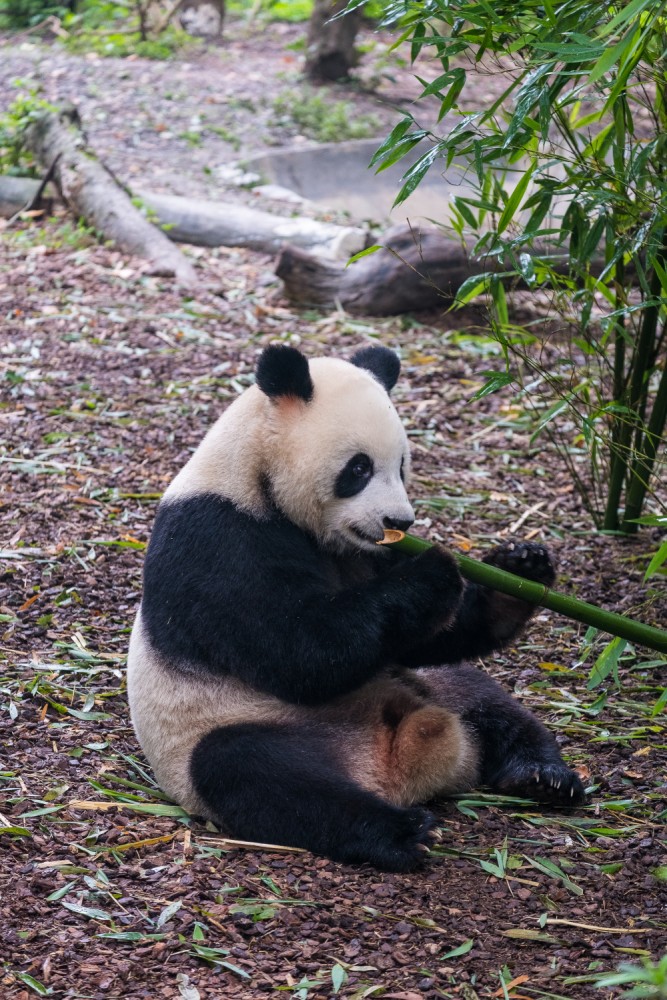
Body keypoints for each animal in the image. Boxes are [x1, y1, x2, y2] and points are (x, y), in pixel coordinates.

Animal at [126, 342, 584, 868]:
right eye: (359, 468)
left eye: (402, 465)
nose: (399, 521)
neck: (256, 474)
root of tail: (390, 771)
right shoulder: (218, 537)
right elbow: (297, 652)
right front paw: (433, 571)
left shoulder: (369, 553)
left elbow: (425, 640)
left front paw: (519, 570)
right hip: (227, 728)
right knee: (258, 775)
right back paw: (400, 832)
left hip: (428, 689)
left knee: (483, 698)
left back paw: (543, 776)